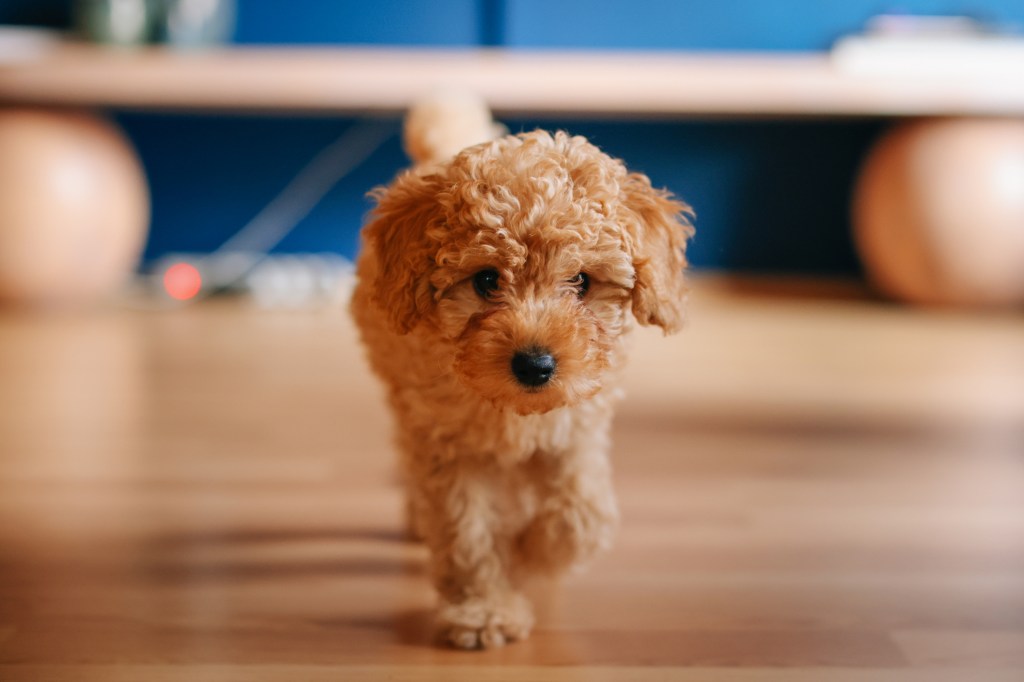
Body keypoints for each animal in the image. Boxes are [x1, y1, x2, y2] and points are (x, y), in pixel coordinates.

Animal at [352, 93, 696, 647]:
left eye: (582, 281)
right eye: (486, 280)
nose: (535, 365)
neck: (514, 411)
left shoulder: (577, 431)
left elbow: (583, 516)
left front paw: (528, 555)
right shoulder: (448, 444)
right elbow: (465, 531)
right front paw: (484, 610)